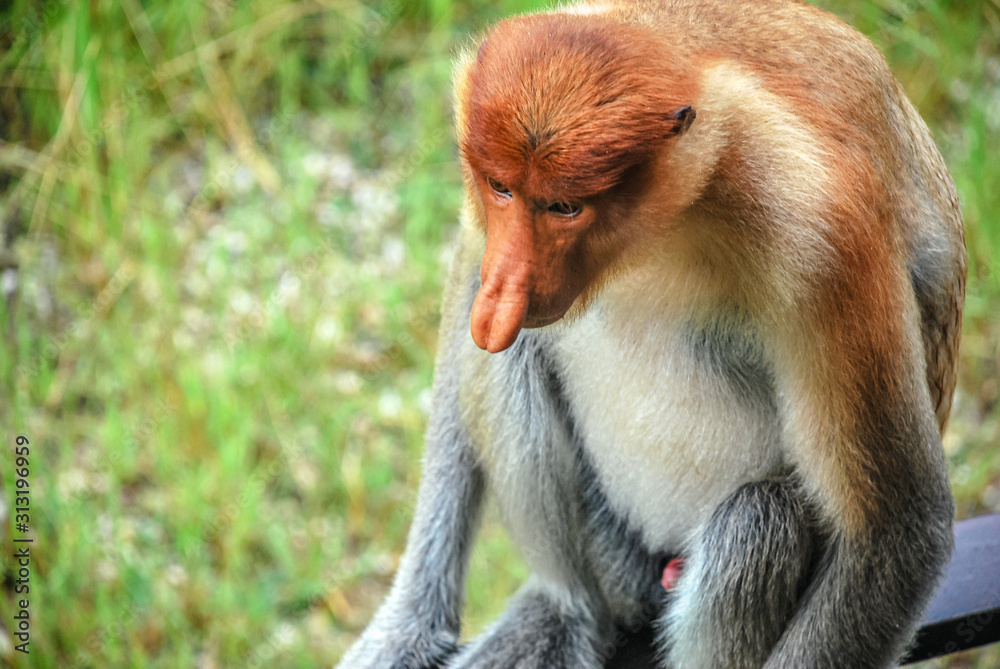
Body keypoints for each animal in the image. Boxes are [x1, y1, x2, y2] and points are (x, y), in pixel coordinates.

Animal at [336, 0, 965, 667]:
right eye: (500, 188)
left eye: (565, 207)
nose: (505, 290)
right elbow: (466, 283)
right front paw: (405, 628)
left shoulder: (825, 238)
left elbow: (897, 529)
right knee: (516, 351)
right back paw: (568, 609)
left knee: (760, 522)